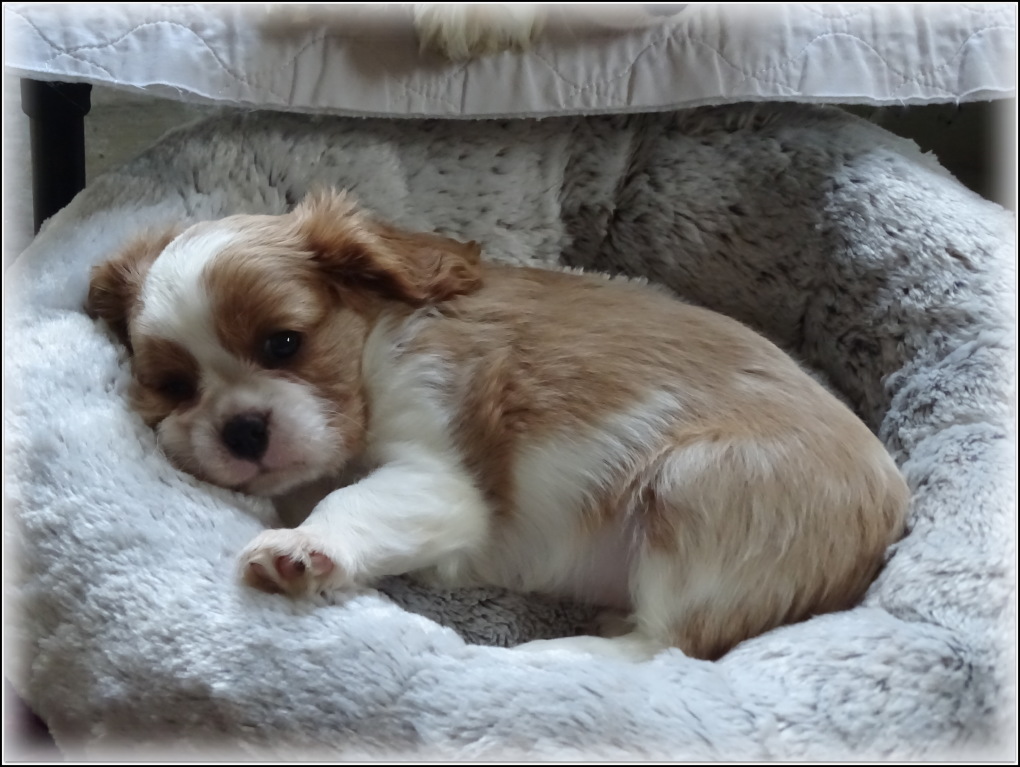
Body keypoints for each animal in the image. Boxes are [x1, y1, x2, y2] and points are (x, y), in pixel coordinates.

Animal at [86, 190, 909, 661]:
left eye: (283, 343)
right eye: (175, 386)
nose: (242, 430)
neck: (372, 350)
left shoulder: (438, 468)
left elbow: (353, 500)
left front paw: (303, 546)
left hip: (692, 486)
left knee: (665, 652)